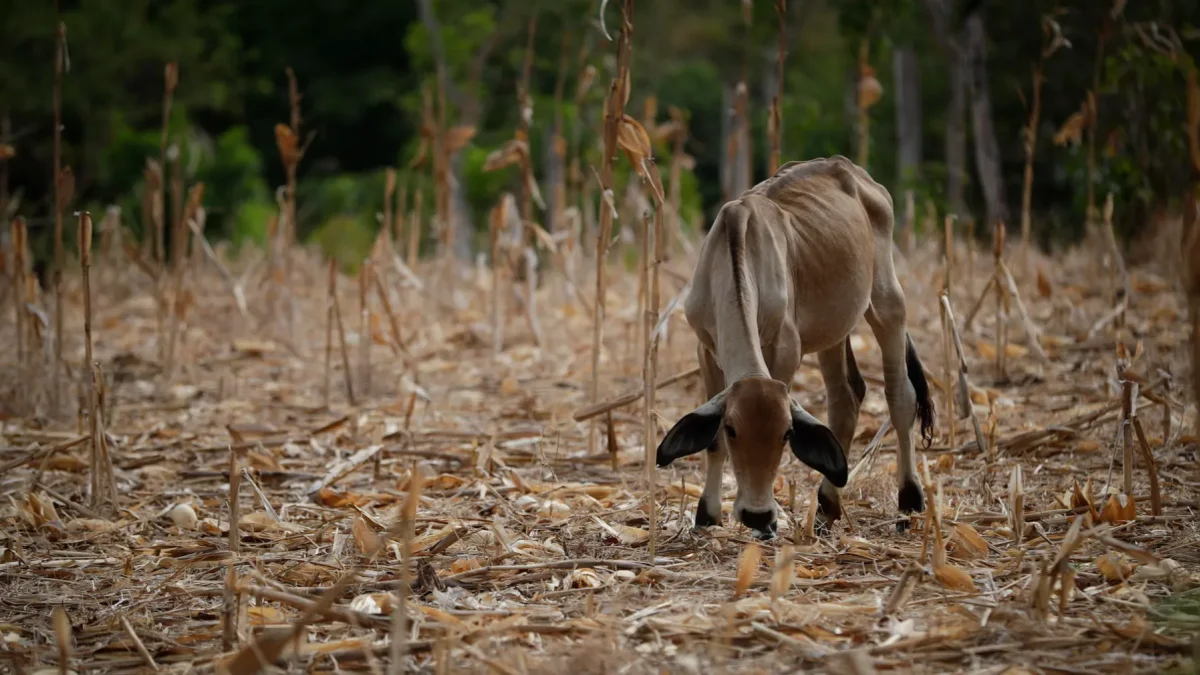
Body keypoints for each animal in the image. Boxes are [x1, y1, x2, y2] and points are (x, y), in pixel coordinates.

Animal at [655, 155, 935, 540]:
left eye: (787, 433)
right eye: (732, 429)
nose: (757, 515)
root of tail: (849, 168)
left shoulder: (786, 350)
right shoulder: (707, 351)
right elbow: (712, 442)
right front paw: (708, 516)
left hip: (887, 302)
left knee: (900, 396)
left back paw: (908, 501)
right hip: (834, 330)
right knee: (846, 399)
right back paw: (827, 508)